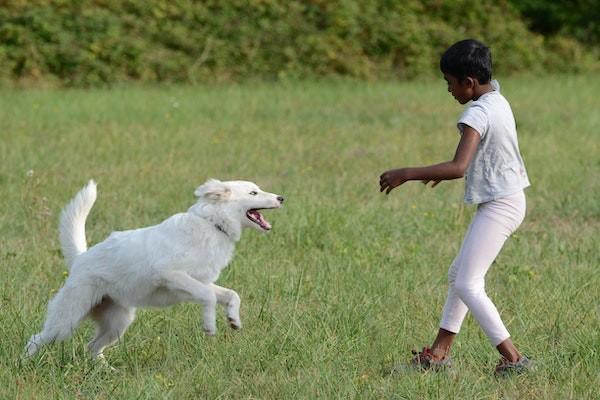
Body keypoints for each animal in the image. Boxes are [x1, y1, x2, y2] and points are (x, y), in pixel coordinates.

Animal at [25, 178, 284, 360]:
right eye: (253, 192)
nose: (282, 198)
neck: (212, 225)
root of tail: (80, 258)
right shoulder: (171, 275)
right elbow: (209, 297)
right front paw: (210, 327)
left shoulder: (200, 282)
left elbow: (231, 294)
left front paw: (233, 320)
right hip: (65, 323)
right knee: (36, 340)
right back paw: (24, 364)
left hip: (118, 323)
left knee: (92, 348)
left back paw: (107, 372)